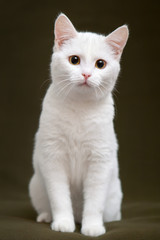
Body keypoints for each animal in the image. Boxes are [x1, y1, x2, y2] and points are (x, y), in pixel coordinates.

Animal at [28, 14, 129, 237]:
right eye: (74, 60)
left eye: (100, 64)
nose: (86, 74)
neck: (79, 110)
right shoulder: (53, 158)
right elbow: (59, 198)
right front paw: (63, 223)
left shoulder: (100, 161)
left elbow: (94, 203)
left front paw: (92, 227)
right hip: (36, 185)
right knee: (47, 205)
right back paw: (46, 217)